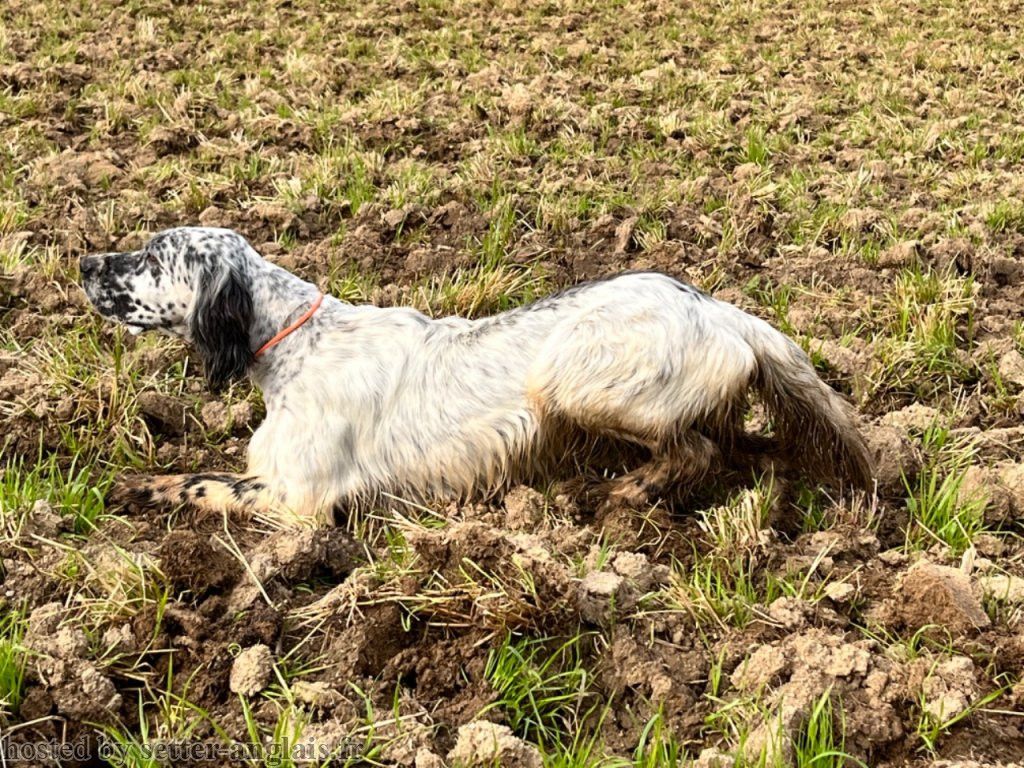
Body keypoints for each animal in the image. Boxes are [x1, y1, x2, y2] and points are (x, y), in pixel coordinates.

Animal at [79, 227, 872, 524]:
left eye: (153, 256)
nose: (85, 261)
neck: (295, 342)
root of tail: (724, 310)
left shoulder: (301, 500)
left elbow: (202, 481)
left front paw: (134, 487)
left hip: (569, 377)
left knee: (695, 451)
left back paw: (618, 494)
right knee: (737, 449)